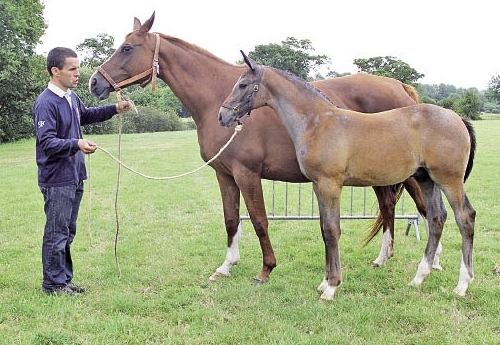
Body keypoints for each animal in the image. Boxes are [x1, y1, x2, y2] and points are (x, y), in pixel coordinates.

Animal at [91, 12, 434, 284]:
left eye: (126, 48)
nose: (95, 82)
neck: (217, 96)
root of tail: (402, 88)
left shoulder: (247, 174)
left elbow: (258, 220)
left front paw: (266, 269)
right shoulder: (225, 175)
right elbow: (231, 219)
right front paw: (225, 266)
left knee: (425, 209)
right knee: (390, 208)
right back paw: (383, 258)